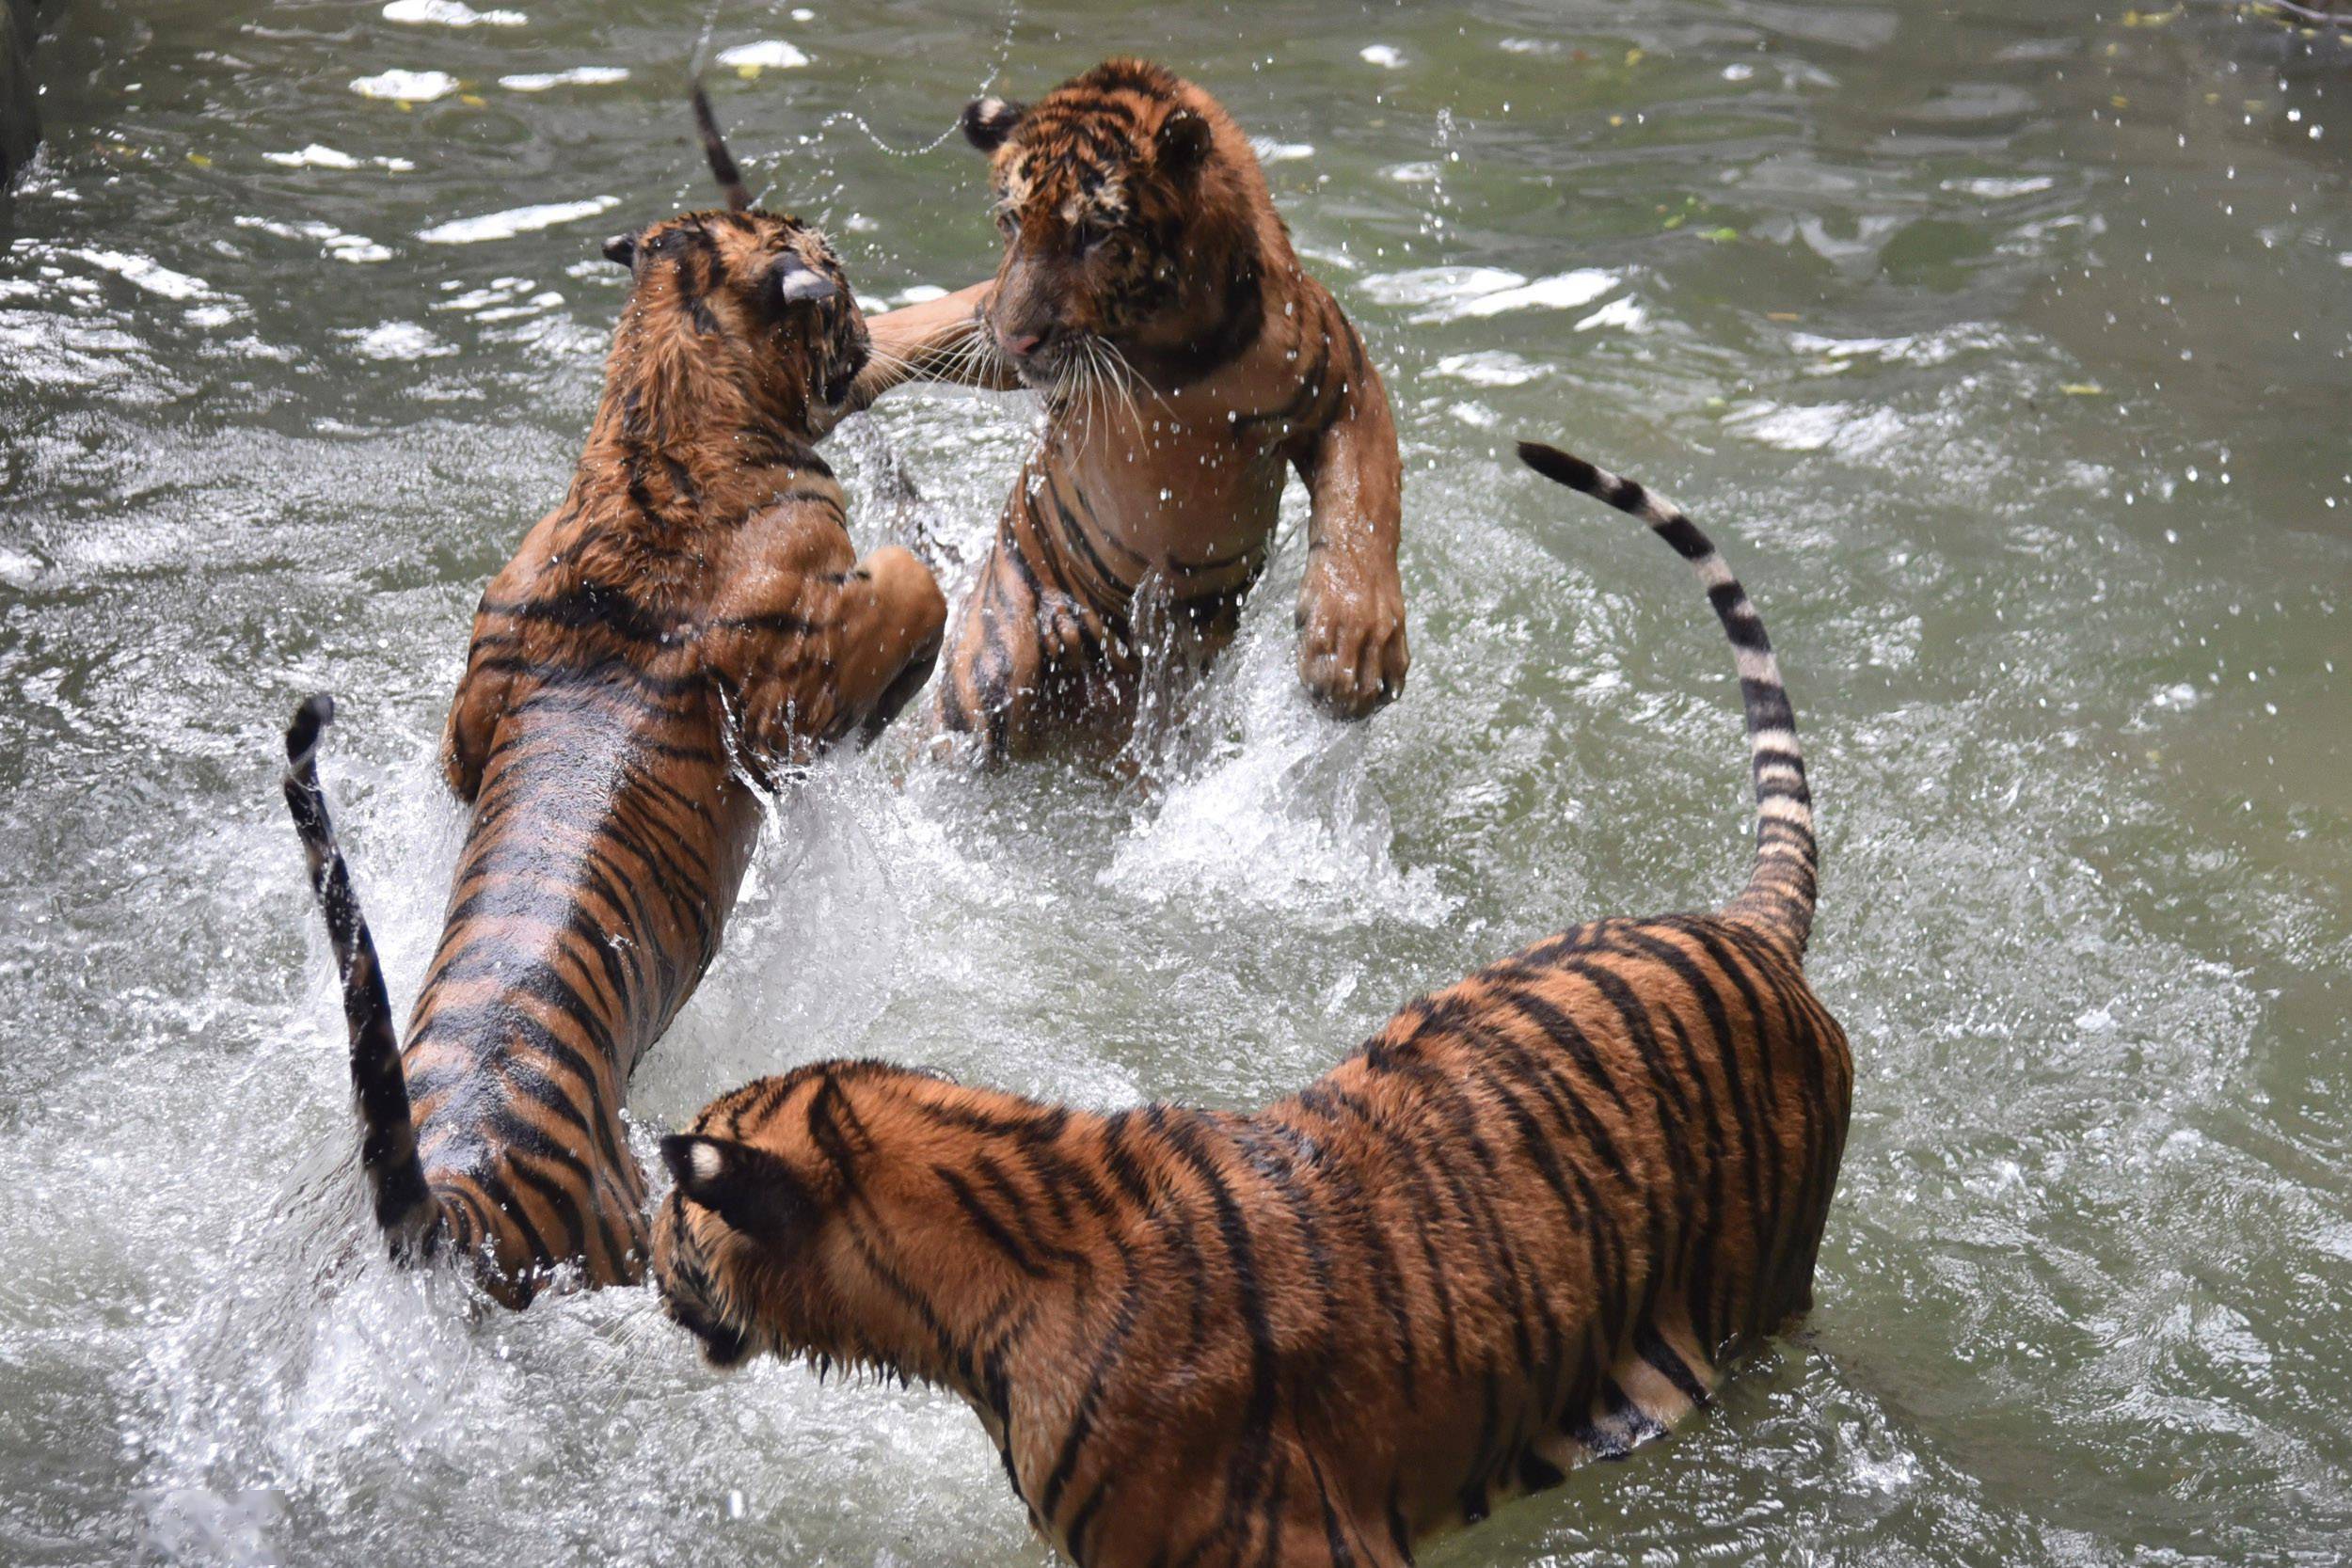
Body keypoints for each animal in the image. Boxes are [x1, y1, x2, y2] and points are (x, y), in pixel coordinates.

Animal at [289, 88, 950, 1316]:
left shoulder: (472, 700)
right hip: (637, 1227)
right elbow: (911, 581)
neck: (662, 414)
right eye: (832, 278)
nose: (867, 331)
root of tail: (447, 1193)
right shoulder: (796, 674)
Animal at [856, 61, 1402, 766]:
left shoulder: (1341, 386)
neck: (1163, 354)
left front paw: (1352, 650)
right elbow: (934, 321)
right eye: (1011, 223)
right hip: (993, 654)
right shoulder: (1001, 321)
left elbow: (1367, 502)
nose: (1017, 339)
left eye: (1092, 233)